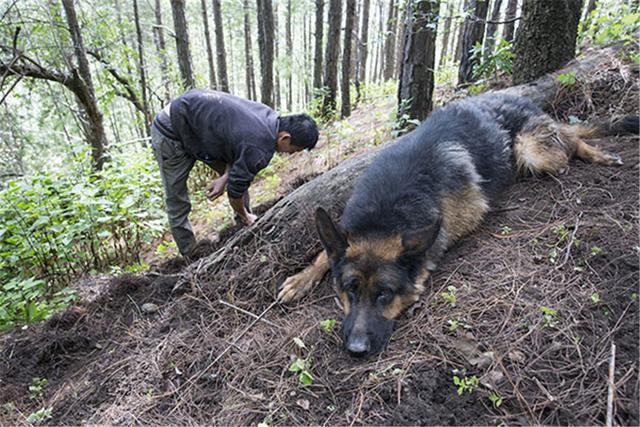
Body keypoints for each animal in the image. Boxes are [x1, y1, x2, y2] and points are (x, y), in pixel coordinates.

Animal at [278, 93, 636, 358]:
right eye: (349, 290)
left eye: (385, 294)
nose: (355, 350)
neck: (387, 213)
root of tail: (523, 99)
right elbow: (325, 254)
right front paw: (300, 279)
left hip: (532, 151)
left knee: (571, 140)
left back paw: (598, 154)